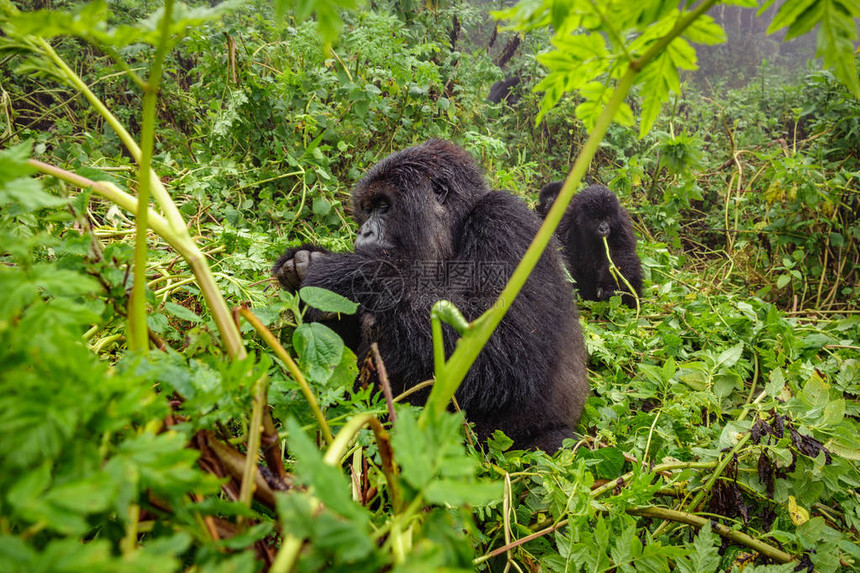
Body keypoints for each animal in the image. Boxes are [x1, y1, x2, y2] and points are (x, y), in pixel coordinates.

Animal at [272, 140, 588, 452]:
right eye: (367, 209)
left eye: (384, 207)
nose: (364, 232)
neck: (456, 232)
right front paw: (302, 267)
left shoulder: (506, 221)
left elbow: (509, 353)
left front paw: (347, 273)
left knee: (556, 444)